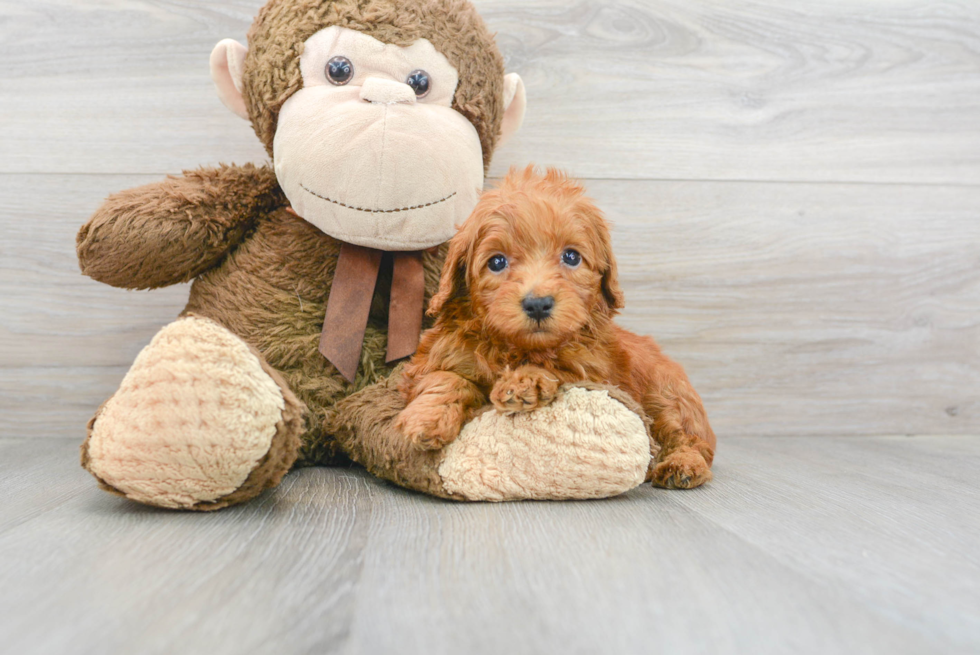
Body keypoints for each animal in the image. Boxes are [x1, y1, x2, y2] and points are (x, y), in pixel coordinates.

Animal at [394, 167, 716, 490]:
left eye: (571, 256)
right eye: (497, 262)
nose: (538, 304)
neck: (516, 348)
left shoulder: (595, 373)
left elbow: (559, 370)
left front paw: (523, 382)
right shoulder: (435, 357)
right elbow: (444, 378)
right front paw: (425, 419)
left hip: (667, 396)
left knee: (688, 438)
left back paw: (683, 466)